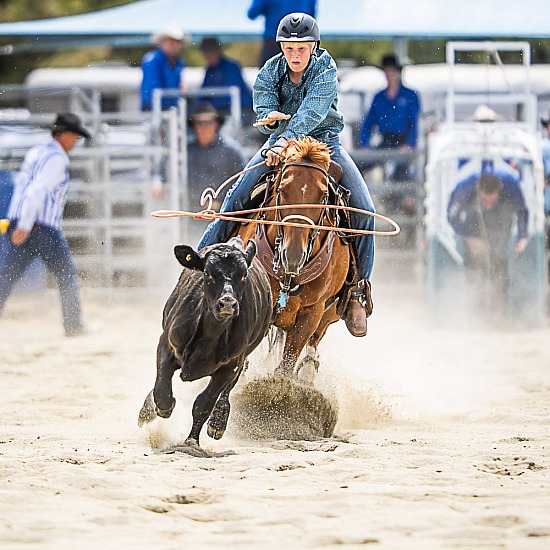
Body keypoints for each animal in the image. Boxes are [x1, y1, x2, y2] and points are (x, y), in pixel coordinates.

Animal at [239, 137, 352, 380]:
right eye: (282, 190)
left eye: (324, 196)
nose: (292, 255)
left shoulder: (313, 312)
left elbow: (286, 366)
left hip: (330, 313)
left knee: (314, 342)